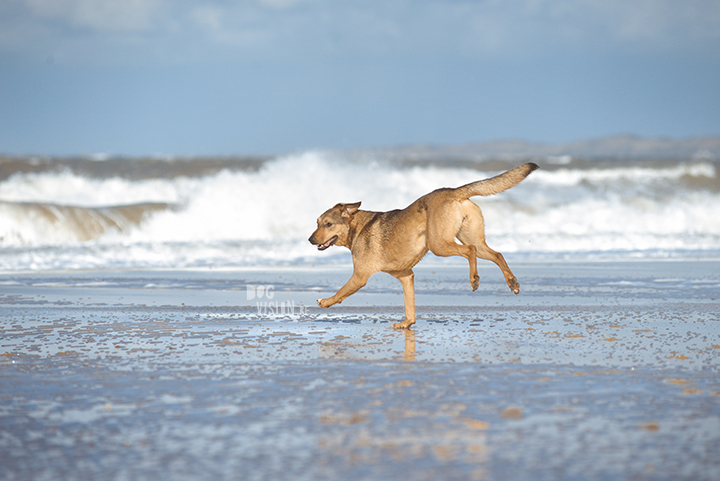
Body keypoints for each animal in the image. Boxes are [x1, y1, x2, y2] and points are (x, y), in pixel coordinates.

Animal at [306, 163, 536, 328]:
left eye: (328, 224)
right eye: (316, 223)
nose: (310, 240)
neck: (357, 228)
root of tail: (453, 192)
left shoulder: (360, 276)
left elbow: (340, 292)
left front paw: (325, 302)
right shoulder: (406, 276)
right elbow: (410, 306)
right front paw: (407, 324)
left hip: (439, 244)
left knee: (469, 252)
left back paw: (474, 279)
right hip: (473, 239)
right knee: (497, 254)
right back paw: (512, 283)